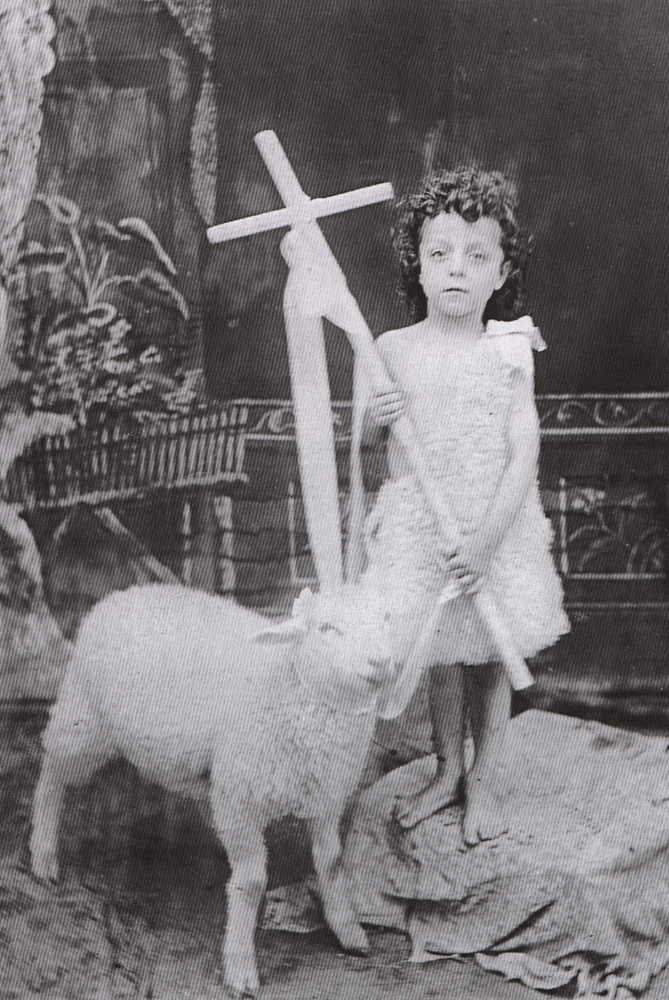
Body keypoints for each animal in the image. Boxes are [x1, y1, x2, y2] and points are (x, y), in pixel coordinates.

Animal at [28, 584, 400, 996]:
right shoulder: (240, 797)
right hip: (85, 719)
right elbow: (252, 882)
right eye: (326, 628)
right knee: (52, 773)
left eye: (386, 620)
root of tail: (124, 592)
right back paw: (43, 853)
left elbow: (332, 865)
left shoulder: (326, 797)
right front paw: (240, 966)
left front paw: (349, 931)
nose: (383, 661)